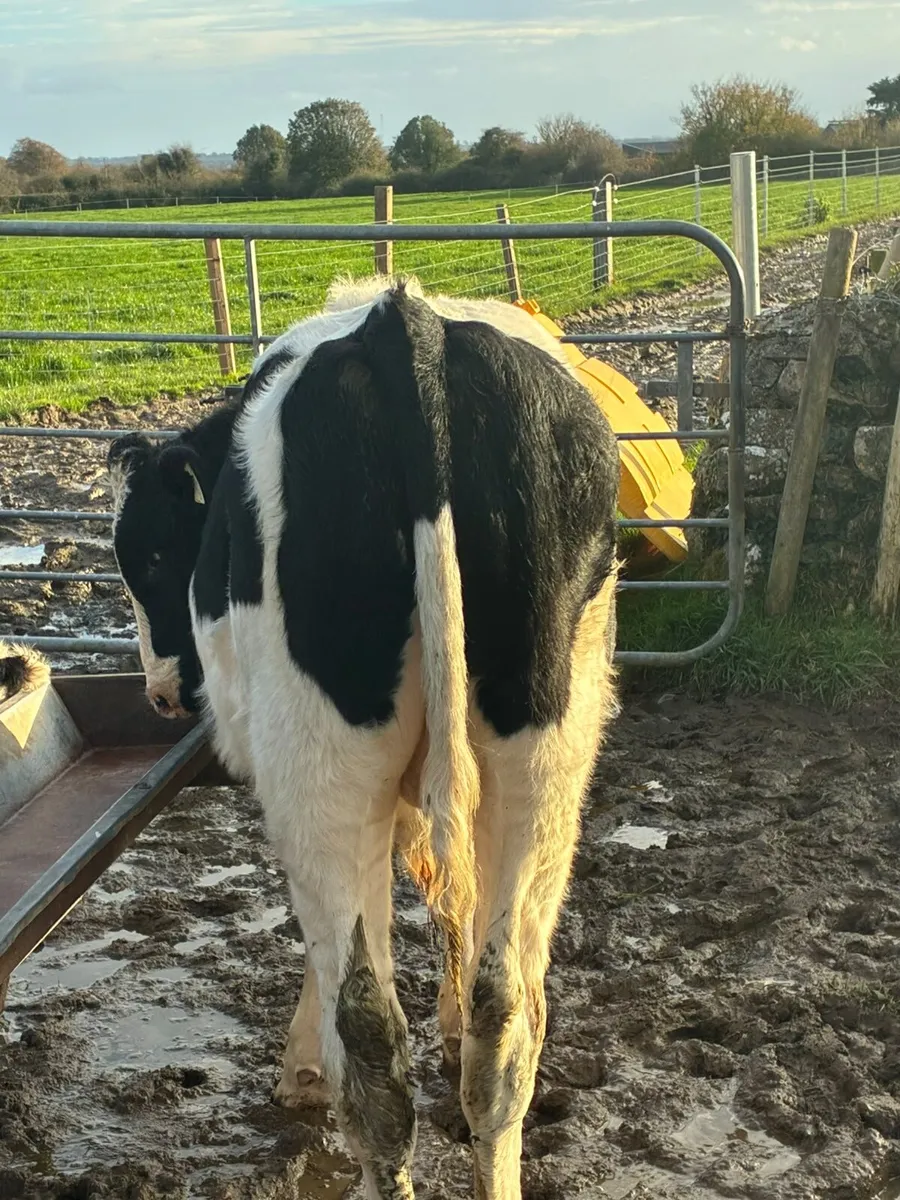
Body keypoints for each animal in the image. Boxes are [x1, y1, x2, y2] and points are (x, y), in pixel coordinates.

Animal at [108, 276, 620, 1200]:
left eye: (155, 559)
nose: (162, 694)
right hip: (547, 745)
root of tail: (401, 320)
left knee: (373, 1037)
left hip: (321, 759)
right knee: (505, 1014)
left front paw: (303, 1071)